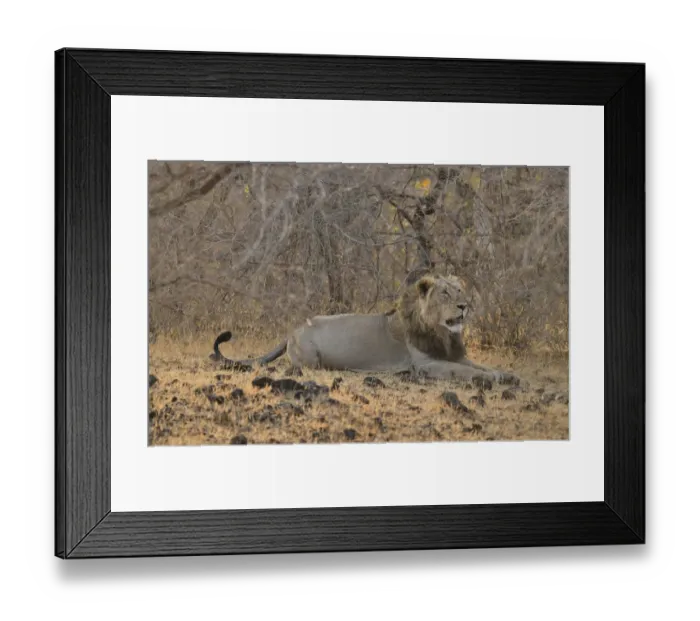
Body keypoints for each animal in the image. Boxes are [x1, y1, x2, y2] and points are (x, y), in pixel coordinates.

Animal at [210, 274, 519, 387]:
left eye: (460, 290)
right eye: (445, 293)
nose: (464, 306)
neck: (444, 334)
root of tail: (291, 331)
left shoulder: (455, 355)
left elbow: (480, 365)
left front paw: (507, 375)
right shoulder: (427, 364)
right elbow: (464, 371)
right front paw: (490, 378)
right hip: (310, 358)